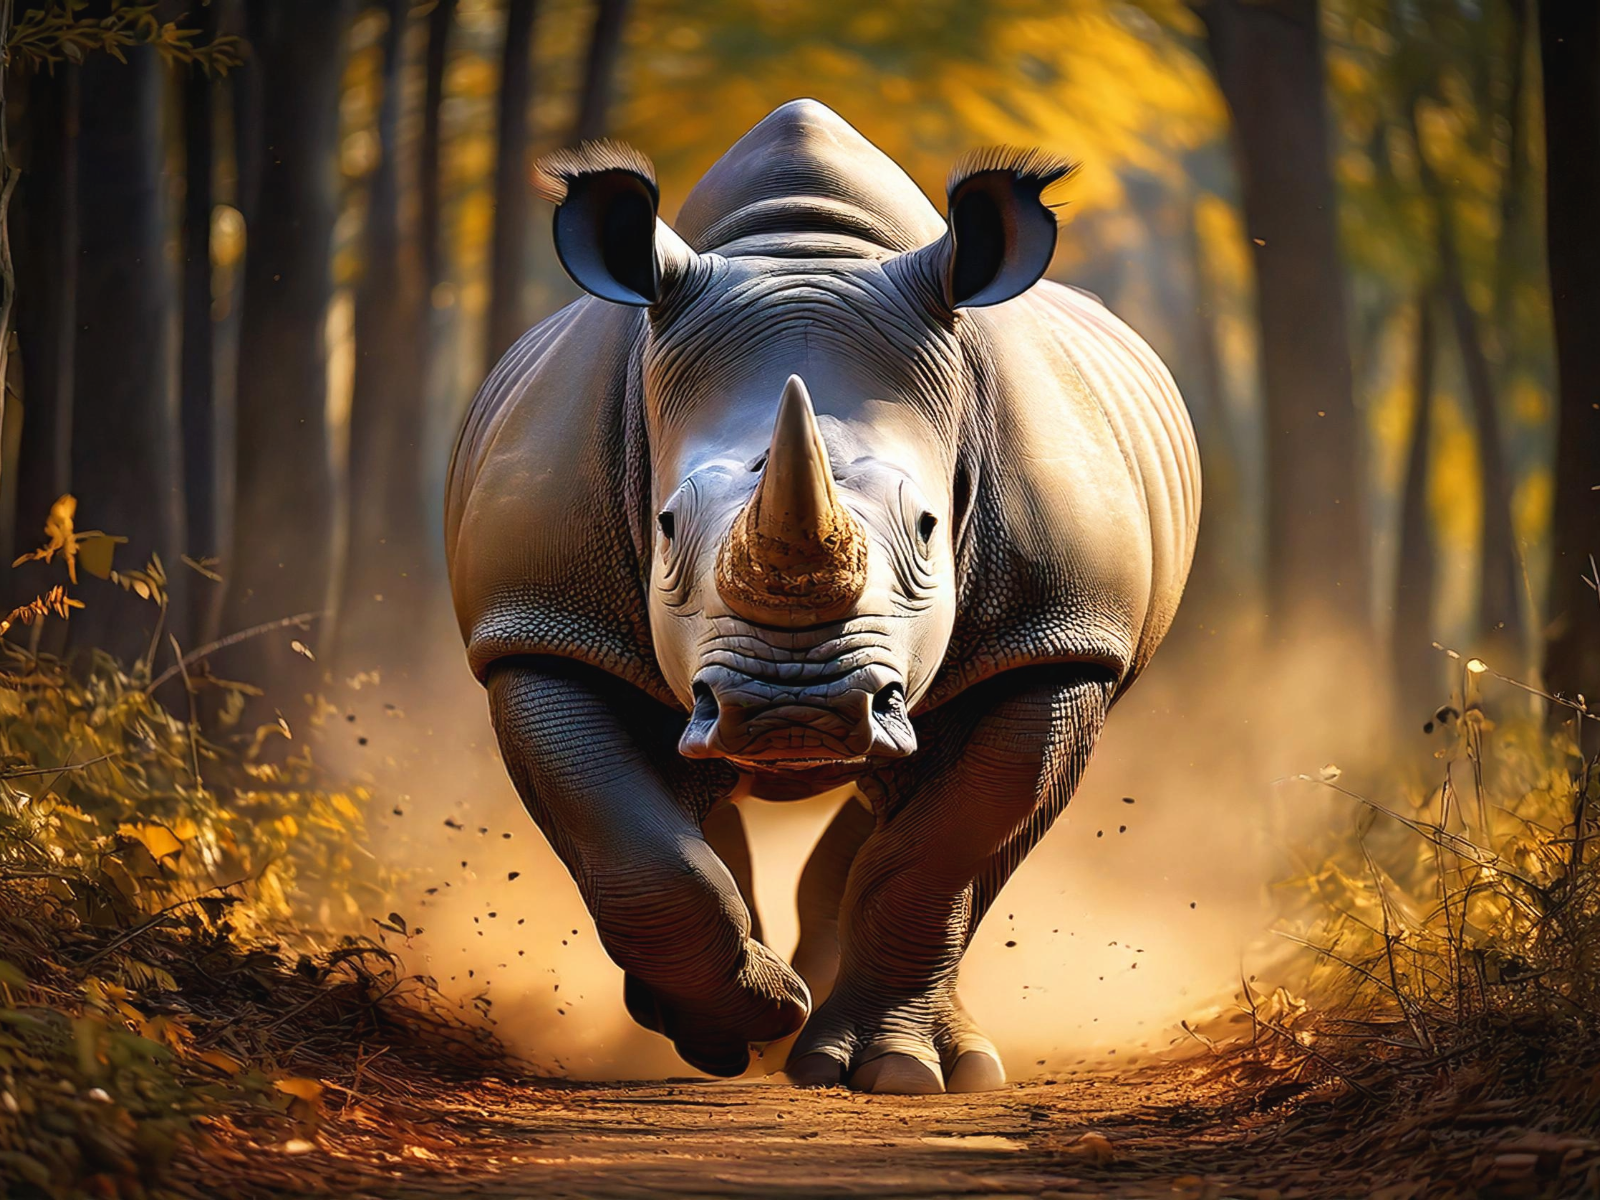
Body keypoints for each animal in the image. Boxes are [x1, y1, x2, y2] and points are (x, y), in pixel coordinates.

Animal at [446, 100, 1199, 1094]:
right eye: (667, 526)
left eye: (928, 526)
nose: (791, 712)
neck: (803, 245)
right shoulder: (539, 628)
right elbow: (634, 846)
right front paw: (742, 1021)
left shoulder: (1056, 639)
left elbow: (943, 852)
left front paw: (891, 1072)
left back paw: (931, 1057)